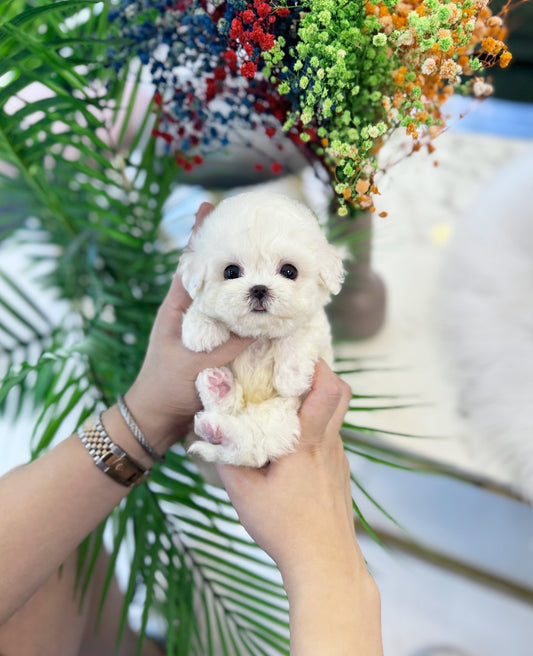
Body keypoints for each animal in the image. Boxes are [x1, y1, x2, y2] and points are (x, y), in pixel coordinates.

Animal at [179, 190, 344, 466]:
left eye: (289, 271)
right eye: (231, 271)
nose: (258, 288)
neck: (259, 336)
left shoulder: (315, 328)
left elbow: (297, 335)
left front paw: (292, 378)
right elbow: (198, 309)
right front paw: (202, 330)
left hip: (283, 419)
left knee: (252, 444)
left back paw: (220, 426)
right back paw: (217, 389)